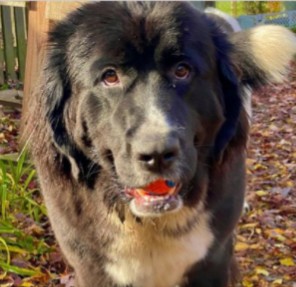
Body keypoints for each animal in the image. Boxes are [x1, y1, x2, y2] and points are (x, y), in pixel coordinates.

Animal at [24, 2, 294, 287]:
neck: (148, 222)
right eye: (110, 76)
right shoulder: (92, 266)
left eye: (182, 70)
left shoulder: (214, 259)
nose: (157, 154)